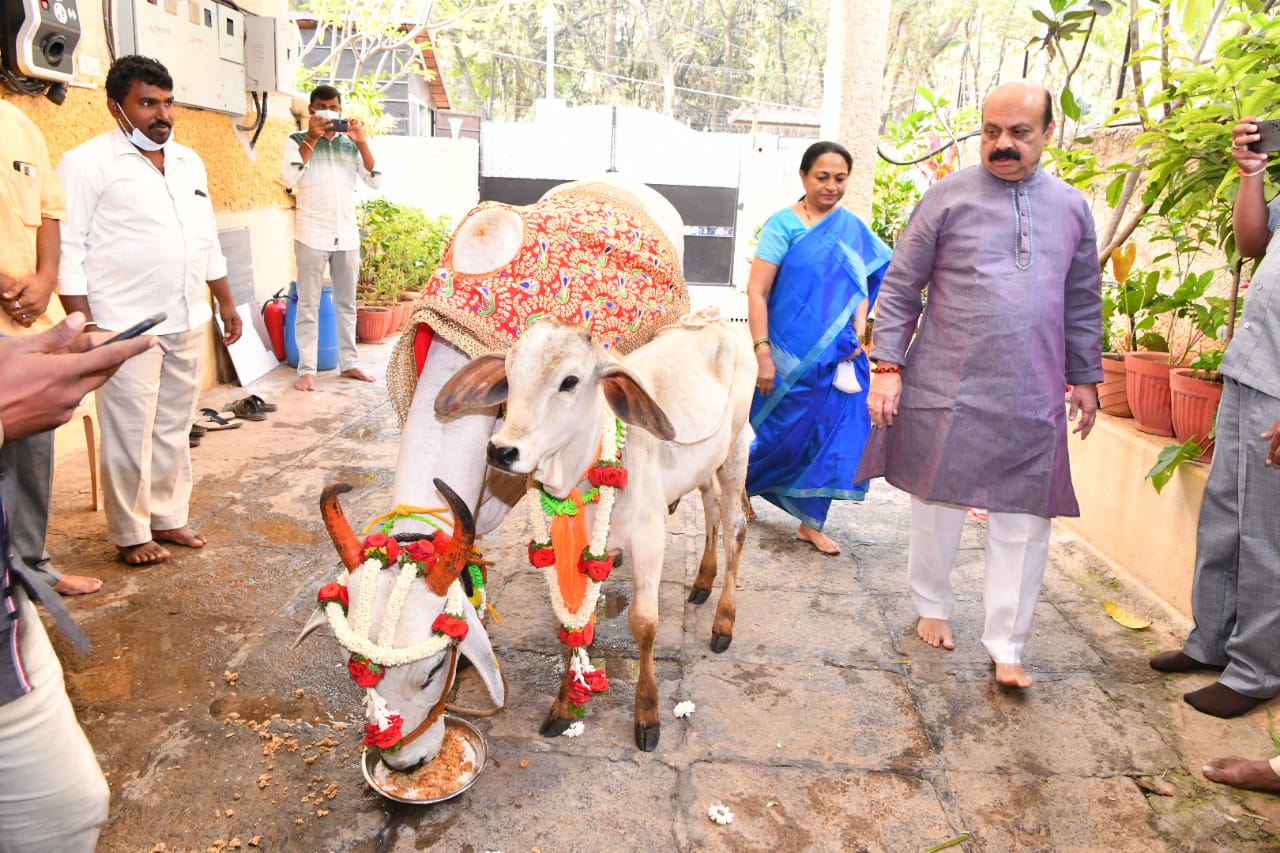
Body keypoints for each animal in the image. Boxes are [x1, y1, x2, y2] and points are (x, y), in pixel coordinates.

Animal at [435, 315, 752, 747]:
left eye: (570, 381)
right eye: (510, 376)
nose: (501, 450)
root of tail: (716, 320)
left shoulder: (650, 540)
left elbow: (644, 624)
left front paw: (648, 714)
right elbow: (573, 624)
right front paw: (564, 705)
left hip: (736, 452)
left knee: (735, 527)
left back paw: (724, 621)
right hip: (706, 466)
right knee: (711, 509)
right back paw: (703, 580)